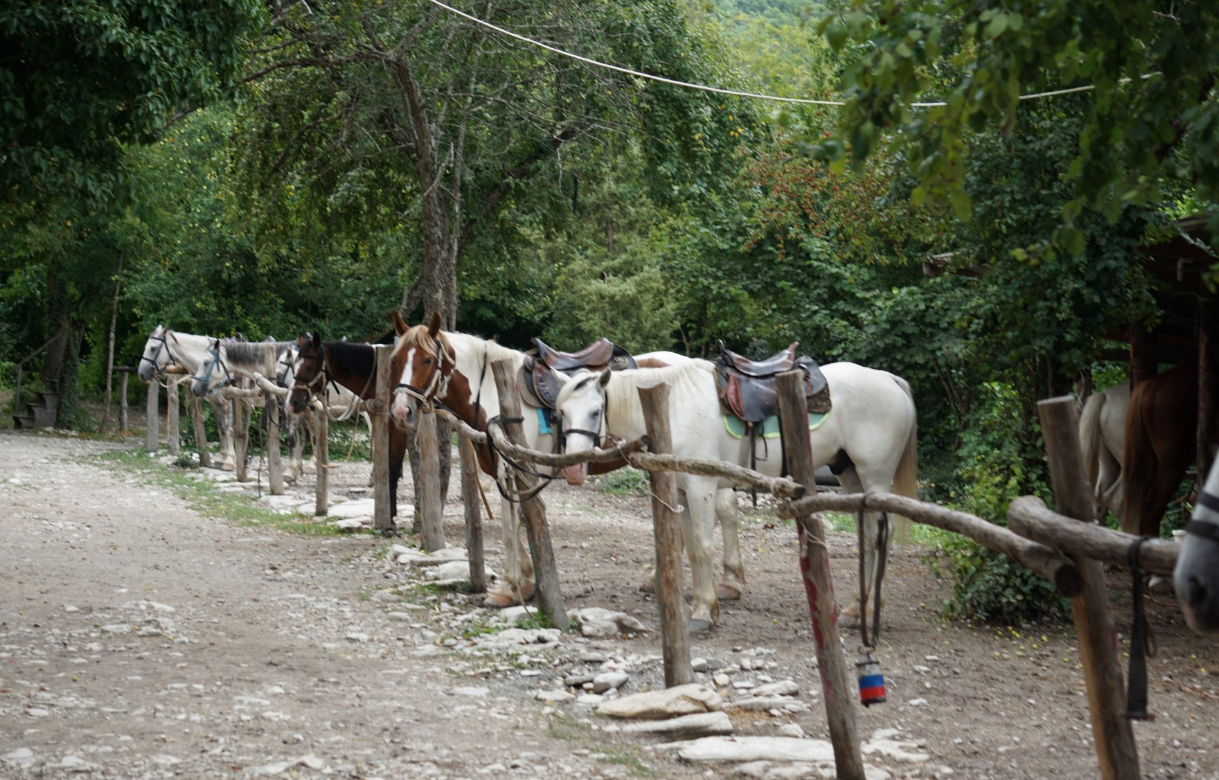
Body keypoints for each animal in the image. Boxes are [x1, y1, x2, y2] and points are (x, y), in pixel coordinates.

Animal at [137, 324, 236, 468]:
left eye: (153, 348)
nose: (141, 373)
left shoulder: (227, 402)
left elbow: (228, 428)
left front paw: (229, 460)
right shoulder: (216, 402)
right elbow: (221, 427)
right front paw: (222, 458)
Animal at [385, 314, 741, 609]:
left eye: (427, 360)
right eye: (396, 359)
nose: (401, 412)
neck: (492, 391)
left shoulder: (514, 466)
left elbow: (512, 523)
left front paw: (510, 588)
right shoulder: (503, 469)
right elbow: (519, 520)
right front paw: (525, 582)